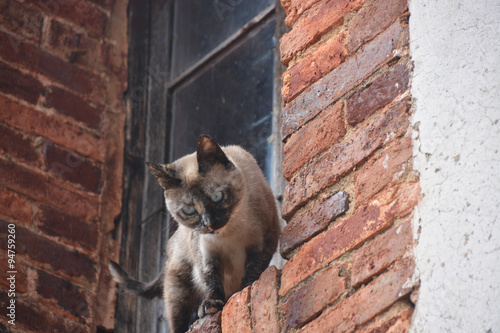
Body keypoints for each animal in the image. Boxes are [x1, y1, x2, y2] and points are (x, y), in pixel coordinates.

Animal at [110, 135, 282, 332]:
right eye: (189, 210)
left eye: (217, 197)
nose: (209, 223)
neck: (228, 232)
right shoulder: (205, 254)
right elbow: (211, 280)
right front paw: (212, 305)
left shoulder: (263, 243)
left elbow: (252, 272)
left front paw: (245, 288)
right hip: (179, 290)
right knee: (178, 322)